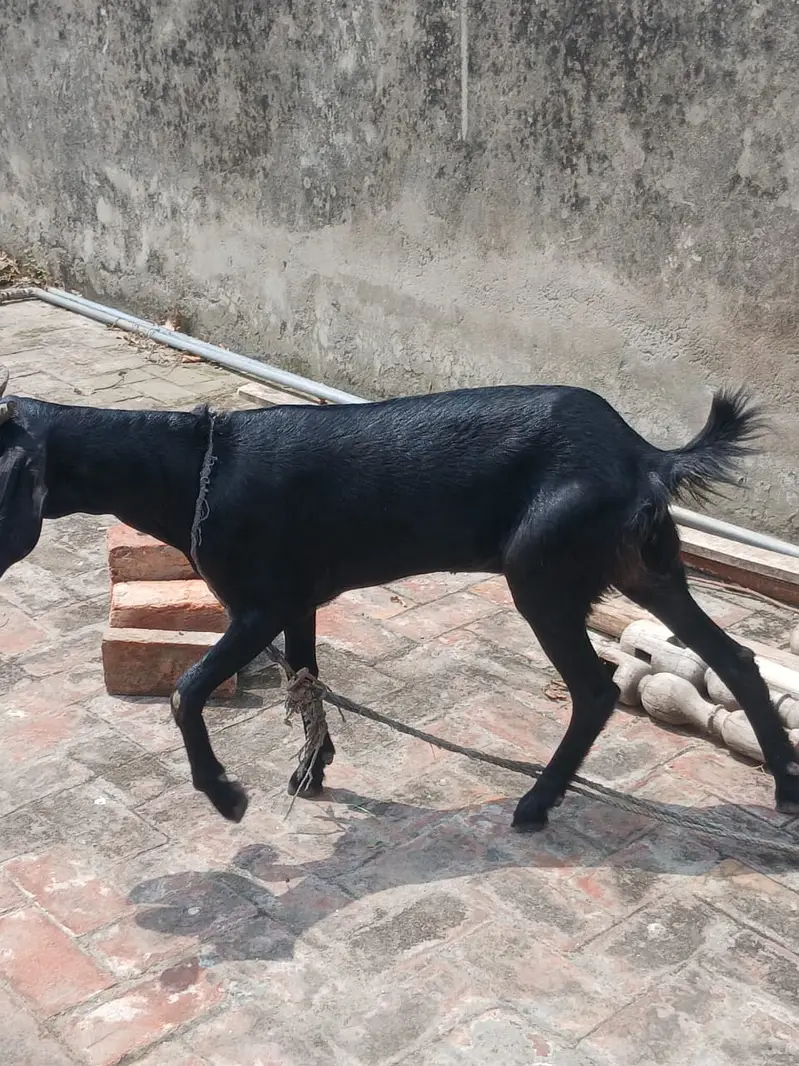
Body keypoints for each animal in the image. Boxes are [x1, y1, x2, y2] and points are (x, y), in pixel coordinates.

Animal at [1, 364, 797, 832]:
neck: (196, 463)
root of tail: (643, 455)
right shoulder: (299, 602)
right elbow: (306, 680)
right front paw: (312, 771)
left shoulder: (259, 607)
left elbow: (186, 690)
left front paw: (226, 794)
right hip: (644, 571)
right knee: (735, 660)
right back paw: (786, 788)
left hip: (542, 576)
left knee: (597, 689)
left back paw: (536, 803)